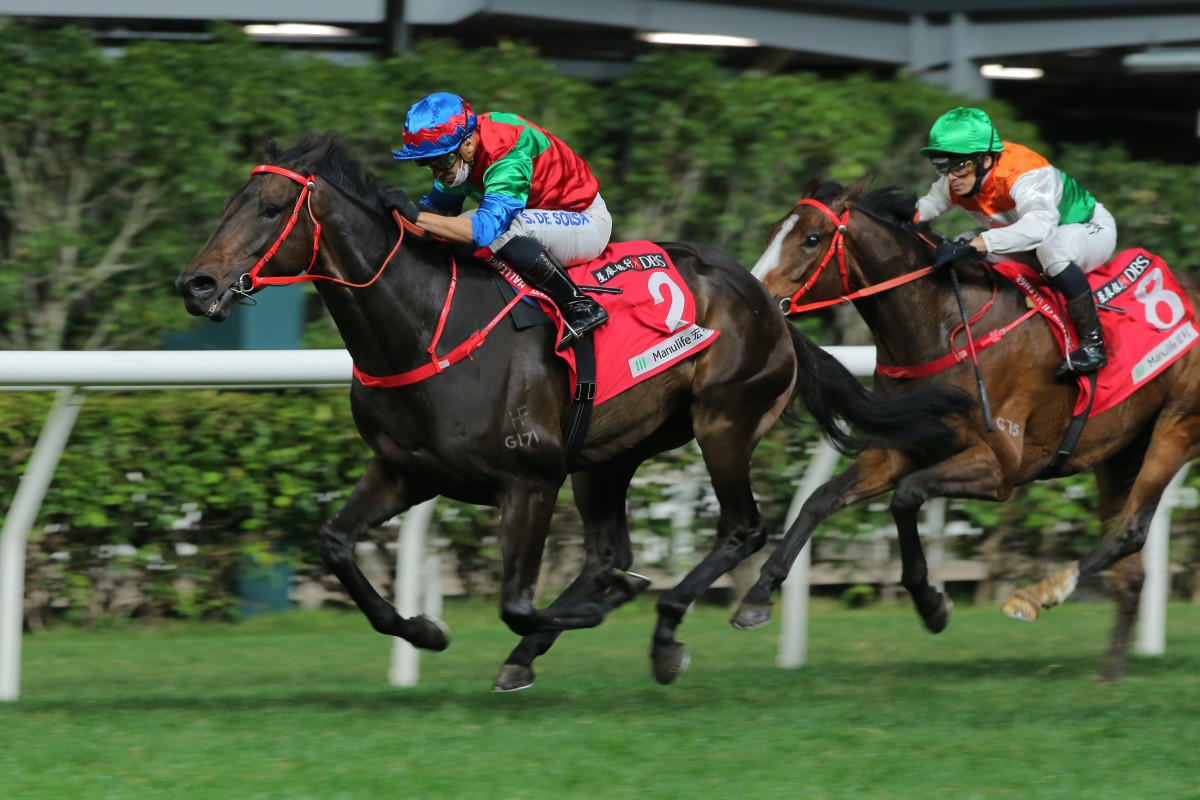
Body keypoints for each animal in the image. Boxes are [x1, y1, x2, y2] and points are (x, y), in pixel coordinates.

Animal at [175, 134, 964, 690]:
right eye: (226, 206)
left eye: (270, 210)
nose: (197, 283)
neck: (426, 325)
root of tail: (767, 302)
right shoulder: (406, 472)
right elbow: (337, 544)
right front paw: (425, 631)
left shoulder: (529, 479)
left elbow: (515, 599)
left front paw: (586, 613)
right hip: (606, 456)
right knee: (610, 551)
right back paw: (568, 629)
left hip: (723, 422)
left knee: (741, 528)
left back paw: (665, 631)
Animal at [734, 178, 1200, 681]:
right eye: (772, 230)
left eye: (812, 239)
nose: (756, 301)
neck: (947, 325)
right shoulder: (900, 448)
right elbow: (818, 500)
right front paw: (757, 597)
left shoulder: (1000, 468)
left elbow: (907, 497)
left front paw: (929, 602)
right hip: (1119, 453)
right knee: (1131, 568)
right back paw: (1109, 674)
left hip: (1176, 427)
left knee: (1131, 530)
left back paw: (1037, 594)